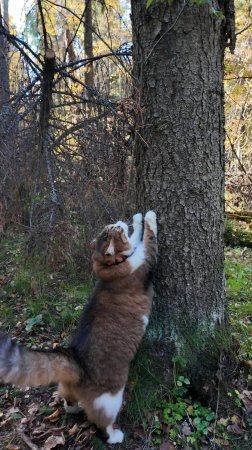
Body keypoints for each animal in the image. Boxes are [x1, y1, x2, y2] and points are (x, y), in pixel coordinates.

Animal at [0, 211, 158, 442]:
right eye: (116, 229)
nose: (119, 222)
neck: (110, 265)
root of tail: (75, 360)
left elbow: (138, 235)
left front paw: (138, 219)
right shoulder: (145, 260)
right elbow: (148, 239)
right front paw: (149, 217)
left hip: (66, 390)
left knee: (68, 402)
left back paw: (73, 408)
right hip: (111, 400)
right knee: (101, 422)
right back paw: (115, 436)